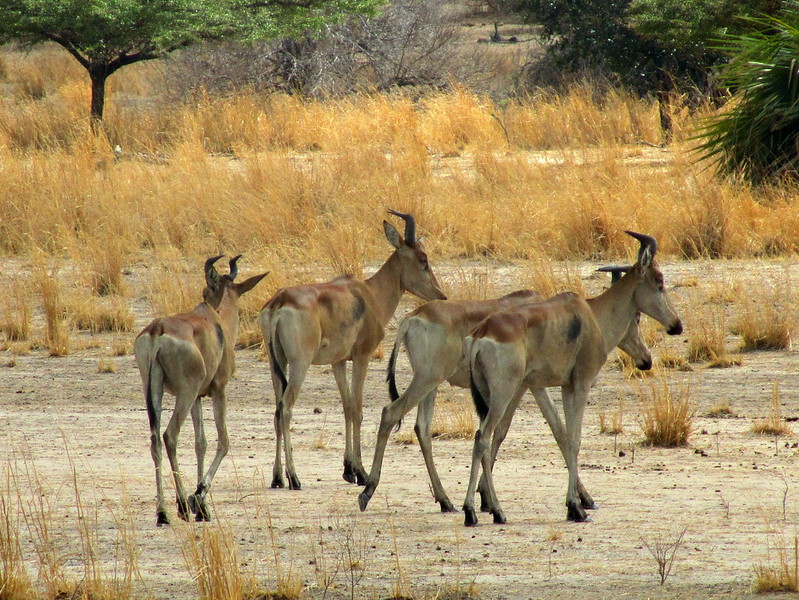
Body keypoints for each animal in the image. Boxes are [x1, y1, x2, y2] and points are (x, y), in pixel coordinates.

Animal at [133, 255, 268, 524]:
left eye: (206, 290)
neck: (214, 321)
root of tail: (156, 331)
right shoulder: (218, 391)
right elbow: (223, 441)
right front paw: (199, 498)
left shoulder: (198, 397)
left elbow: (200, 443)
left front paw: (201, 506)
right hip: (184, 394)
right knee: (169, 435)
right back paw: (182, 507)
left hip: (153, 390)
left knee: (155, 440)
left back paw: (162, 512)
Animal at [260, 209, 446, 490]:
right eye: (422, 258)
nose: (441, 296)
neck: (367, 292)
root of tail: (280, 300)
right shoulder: (362, 356)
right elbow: (357, 408)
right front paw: (362, 472)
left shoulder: (338, 361)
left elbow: (347, 406)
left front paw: (349, 470)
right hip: (300, 364)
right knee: (286, 409)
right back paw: (294, 478)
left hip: (276, 364)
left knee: (276, 411)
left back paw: (277, 477)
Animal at [360, 272, 652, 510]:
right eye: (636, 318)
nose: (646, 359)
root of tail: (411, 319)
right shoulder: (525, 387)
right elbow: (521, 430)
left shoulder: (527, 386)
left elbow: (551, 431)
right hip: (427, 379)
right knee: (390, 413)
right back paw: (368, 490)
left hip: (430, 386)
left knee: (422, 428)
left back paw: (445, 501)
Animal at [466, 231, 684, 524]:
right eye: (659, 282)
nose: (676, 325)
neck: (590, 314)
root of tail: (482, 332)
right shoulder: (580, 384)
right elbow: (575, 438)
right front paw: (576, 507)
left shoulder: (560, 386)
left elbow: (564, 436)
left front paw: (577, 504)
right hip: (504, 393)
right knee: (484, 437)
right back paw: (491, 511)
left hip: (490, 395)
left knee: (485, 437)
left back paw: (473, 510)